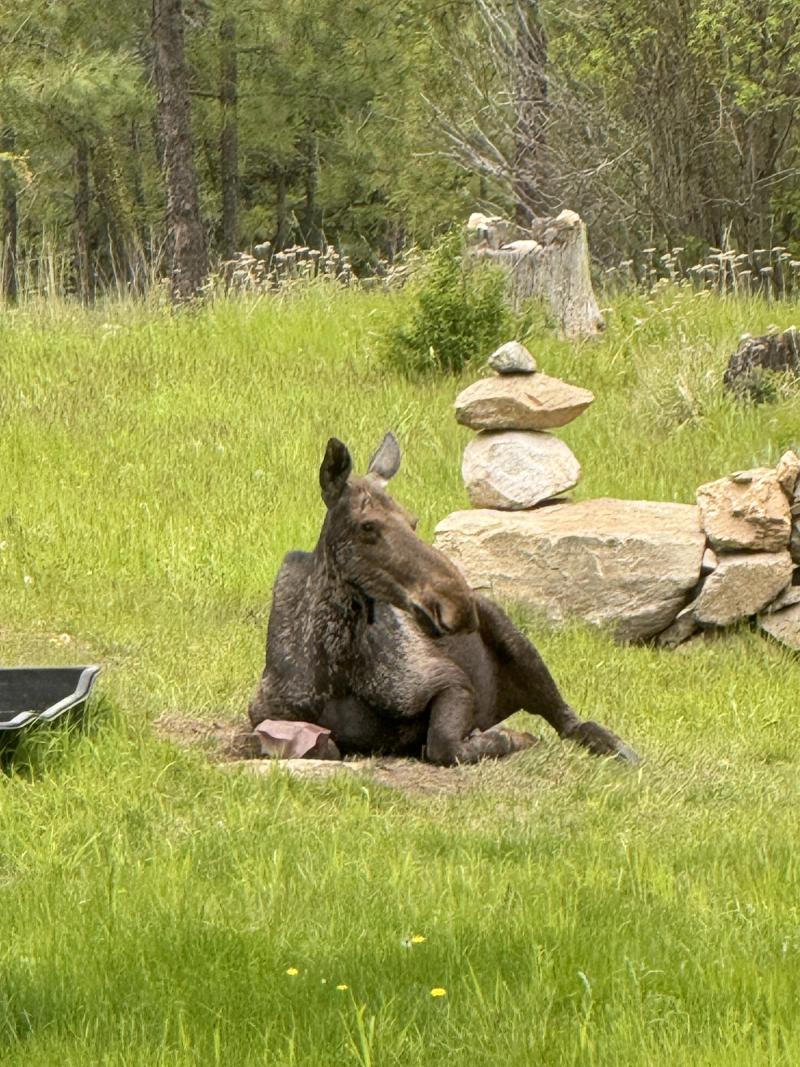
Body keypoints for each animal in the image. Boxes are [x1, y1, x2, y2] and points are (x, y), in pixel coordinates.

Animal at [248, 433, 639, 767]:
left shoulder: (449, 682)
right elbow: (322, 745)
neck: (337, 667)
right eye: (367, 525)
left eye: (413, 521)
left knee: (570, 721)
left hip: (518, 643)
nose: (457, 604)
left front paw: (510, 738)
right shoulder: (264, 713)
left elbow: (444, 744)